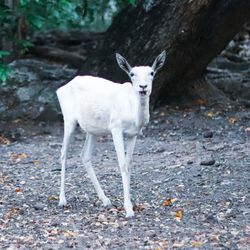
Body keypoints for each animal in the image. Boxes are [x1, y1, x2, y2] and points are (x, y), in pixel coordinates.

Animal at [56, 50, 166, 217]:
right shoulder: (116, 130)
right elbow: (122, 164)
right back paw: (62, 200)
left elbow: (129, 163)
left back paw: (105, 200)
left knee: (85, 156)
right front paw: (128, 210)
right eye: (132, 73)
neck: (132, 109)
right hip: (69, 122)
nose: (143, 87)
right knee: (63, 154)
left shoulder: (133, 135)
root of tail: (63, 88)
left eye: (152, 72)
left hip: (93, 131)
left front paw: (130, 204)